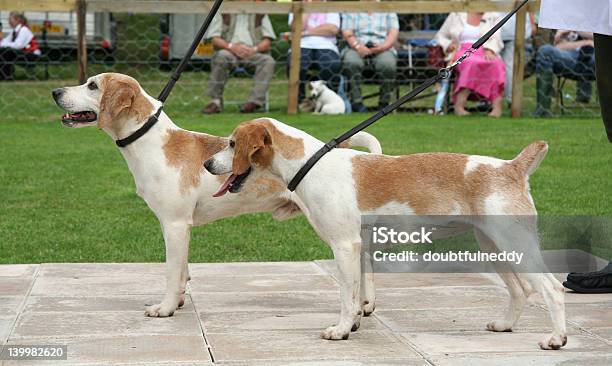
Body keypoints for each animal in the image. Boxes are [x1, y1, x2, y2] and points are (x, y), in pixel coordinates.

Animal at [52, 72, 380, 318]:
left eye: (92, 85)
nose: (55, 91)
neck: (151, 141)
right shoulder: (176, 227)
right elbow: (182, 272)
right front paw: (179, 301)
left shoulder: (175, 225)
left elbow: (171, 272)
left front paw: (166, 308)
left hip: (333, 228)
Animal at [206, 118, 568, 350]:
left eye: (233, 144)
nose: (208, 164)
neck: (311, 164)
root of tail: (511, 167)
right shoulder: (357, 249)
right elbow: (357, 296)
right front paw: (353, 324)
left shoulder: (345, 247)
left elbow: (346, 297)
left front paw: (341, 330)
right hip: (494, 247)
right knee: (521, 290)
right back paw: (506, 325)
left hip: (514, 245)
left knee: (552, 289)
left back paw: (556, 339)